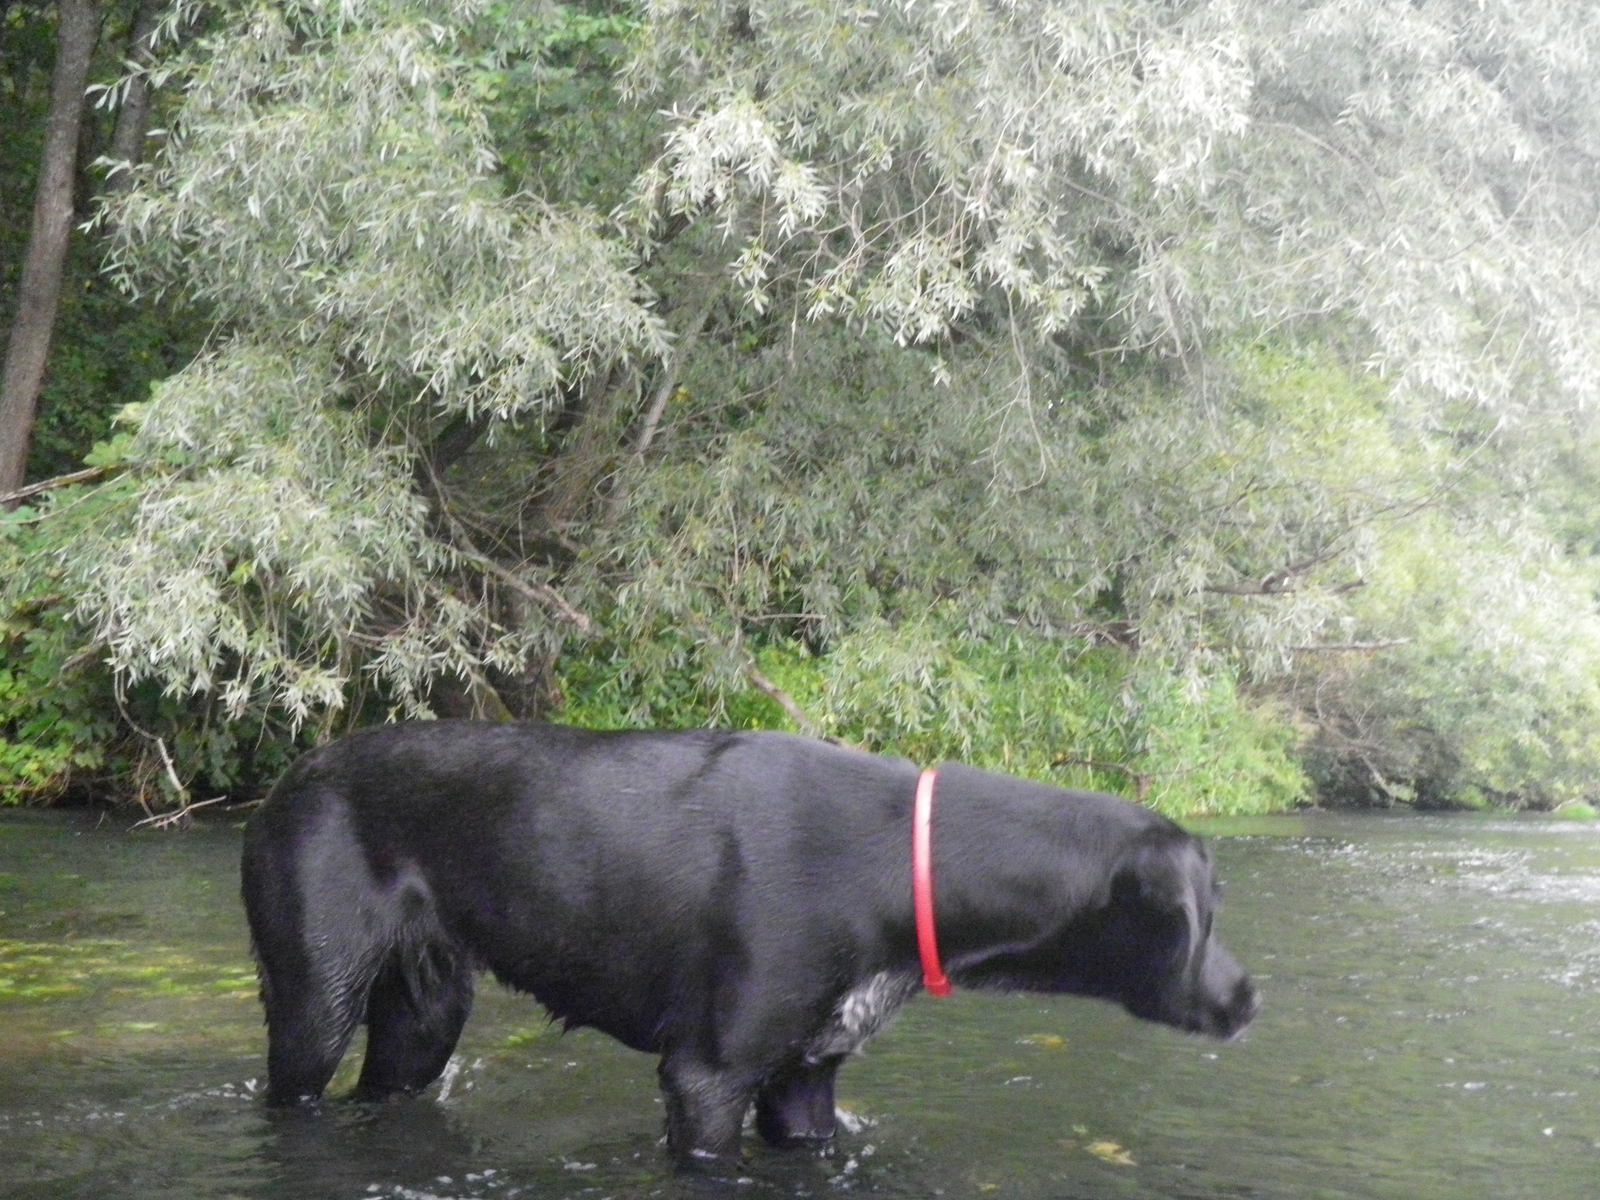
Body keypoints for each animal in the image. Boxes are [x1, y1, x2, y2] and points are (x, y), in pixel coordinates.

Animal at [243, 723, 1254, 1164]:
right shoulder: (707, 1078)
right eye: (1205, 914)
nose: (1251, 998)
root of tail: (293, 771)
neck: (901, 858)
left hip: (422, 1022)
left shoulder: (804, 1081)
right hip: (316, 1005)